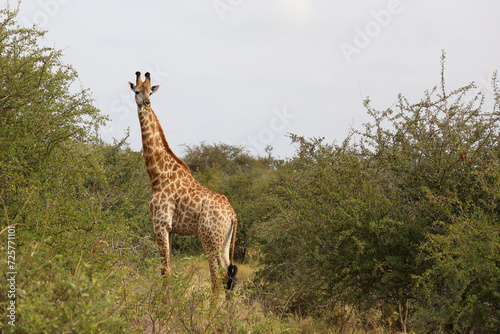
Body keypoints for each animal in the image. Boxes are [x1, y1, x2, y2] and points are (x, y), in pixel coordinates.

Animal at [129, 72, 238, 296]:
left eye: (149, 91)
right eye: (137, 91)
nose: (146, 102)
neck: (157, 174)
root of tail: (233, 214)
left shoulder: (160, 223)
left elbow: (166, 271)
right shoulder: (170, 229)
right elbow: (166, 270)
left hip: (209, 238)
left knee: (216, 279)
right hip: (224, 242)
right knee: (229, 278)